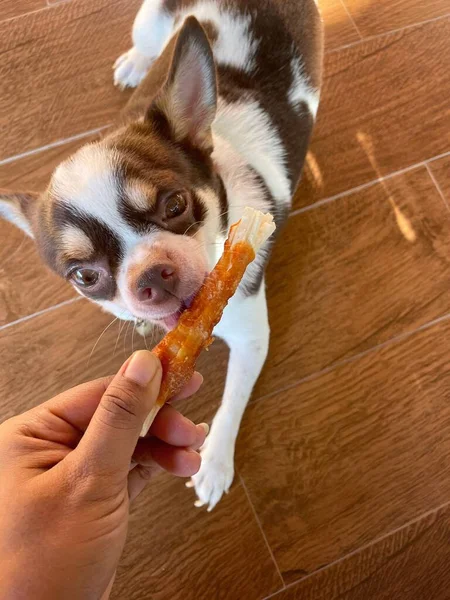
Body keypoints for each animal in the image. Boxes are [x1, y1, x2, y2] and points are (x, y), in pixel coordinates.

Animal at [0, 0, 324, 510]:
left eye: (175, 206)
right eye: (85, 277)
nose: (153, 275)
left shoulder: (252, 336)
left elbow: (234, 397)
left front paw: (215, 461)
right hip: (150, 20)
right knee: (145, 42)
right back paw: (135, 63)